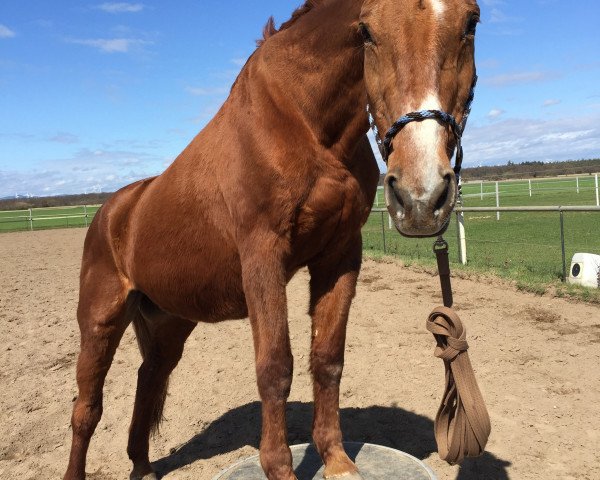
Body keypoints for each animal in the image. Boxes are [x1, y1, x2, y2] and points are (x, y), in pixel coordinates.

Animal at [64, 0, 478, 480]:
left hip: (169, 323)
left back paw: (142, 465)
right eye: (367, 32)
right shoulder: (263, 257)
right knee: (87, 408)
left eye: (470, 24)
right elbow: (276, 368)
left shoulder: (340, 255)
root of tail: (112, 213)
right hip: (100, 320)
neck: (303, 124)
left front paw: (337, 461)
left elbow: (327, 359)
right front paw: (280, 468)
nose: (420, 197)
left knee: (147, 381)